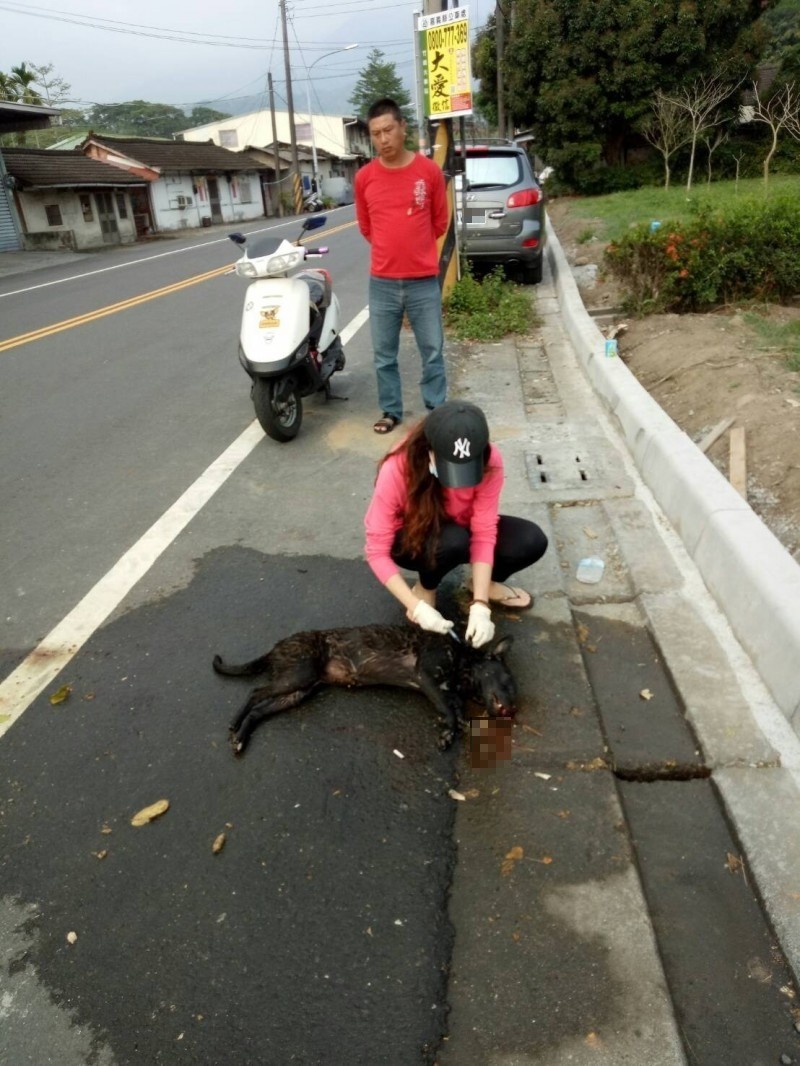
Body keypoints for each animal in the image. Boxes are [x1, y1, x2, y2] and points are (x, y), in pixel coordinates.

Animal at [210, 622, 516, 758]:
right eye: (508, 681)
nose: (512, 709)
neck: (461, 656)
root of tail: (276, 647)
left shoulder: (443, 688)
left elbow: (455, 706)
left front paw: (455, 726)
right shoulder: (426, 678)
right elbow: (447, 708)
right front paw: (447, 732)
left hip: (298, 691)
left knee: (259, 709)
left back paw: (241, 738)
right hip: (297, 676)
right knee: (254, 692)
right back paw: (235, 725)